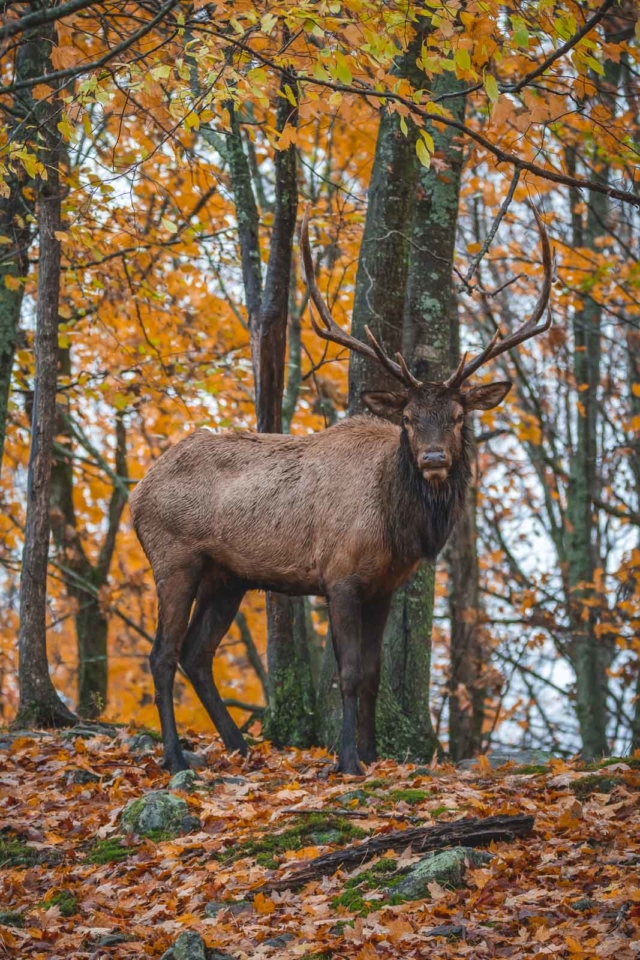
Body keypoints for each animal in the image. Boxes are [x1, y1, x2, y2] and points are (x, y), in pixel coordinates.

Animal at [129, 206, 552, 776]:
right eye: (409, 419)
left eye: (459, 416)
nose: (434, 459)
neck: (395, 525)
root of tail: (138, 492)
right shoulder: (341, 575)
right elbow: (348, 674)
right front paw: (347, 761)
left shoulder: (384, 587)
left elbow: (372, 675)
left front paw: (374, 757)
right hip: (175, 556)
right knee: (163, 654)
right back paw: (176, 758)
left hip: (228, 575)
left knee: (198, 654)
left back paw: (241, 748)